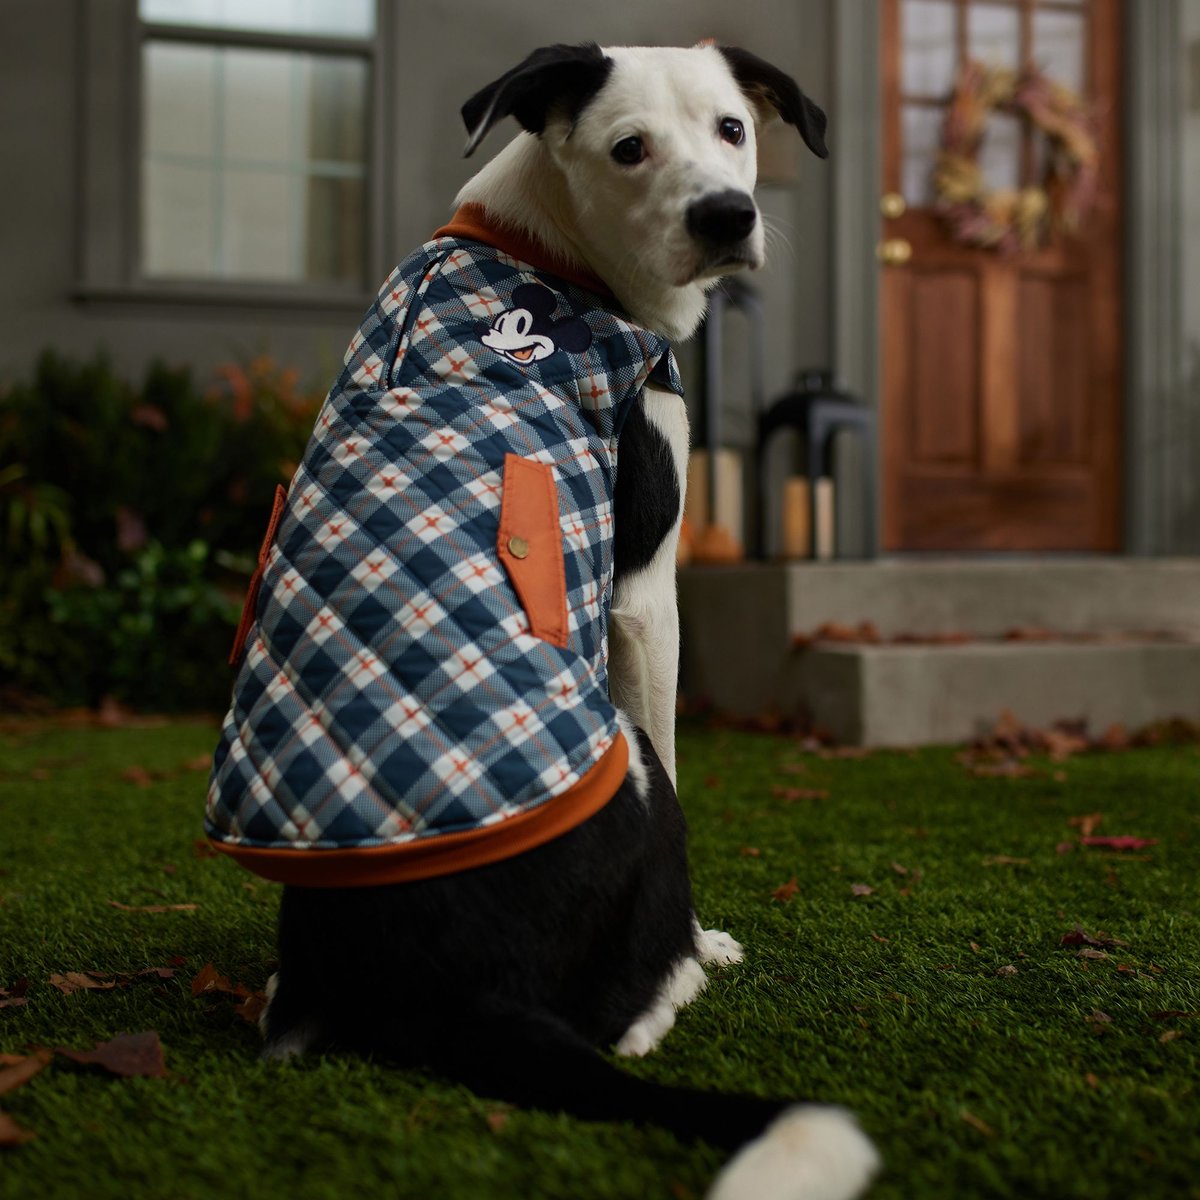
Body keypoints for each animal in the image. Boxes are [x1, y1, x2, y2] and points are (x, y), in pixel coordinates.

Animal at [255, 39, 873, 1200]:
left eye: (733, 128)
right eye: (629, 149)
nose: (727, 216)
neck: (553, 251)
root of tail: (457, 990)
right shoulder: (643, 594)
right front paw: (706, 942)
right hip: (624, 765)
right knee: (619, 1018)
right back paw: (681, 974)